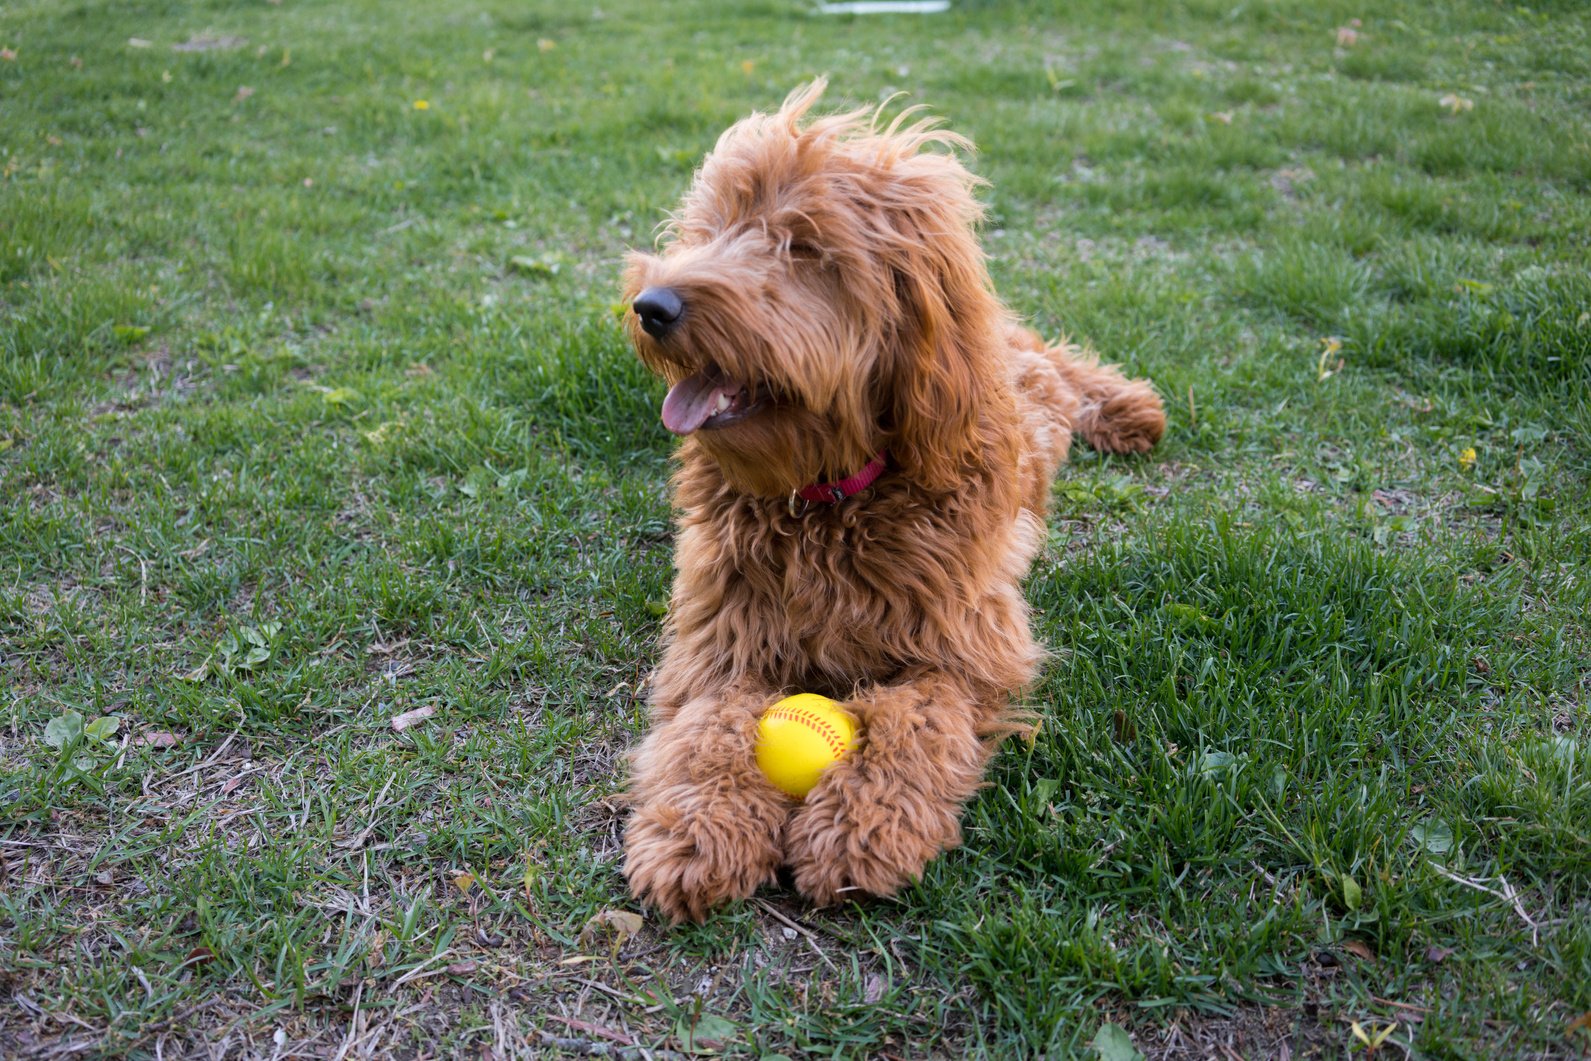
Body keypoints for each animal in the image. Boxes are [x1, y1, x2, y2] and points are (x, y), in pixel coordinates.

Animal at [617, 81, 1158, 922]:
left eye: (803, 246)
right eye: (711, 227)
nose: (653, 306)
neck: (825, 502)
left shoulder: (966, 647)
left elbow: (916, 720)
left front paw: (860, 826)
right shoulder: (720, 641)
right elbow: (708, 728)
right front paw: (699, 829)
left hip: (1031, 381)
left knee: (1059, 362)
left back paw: (1129, 408)